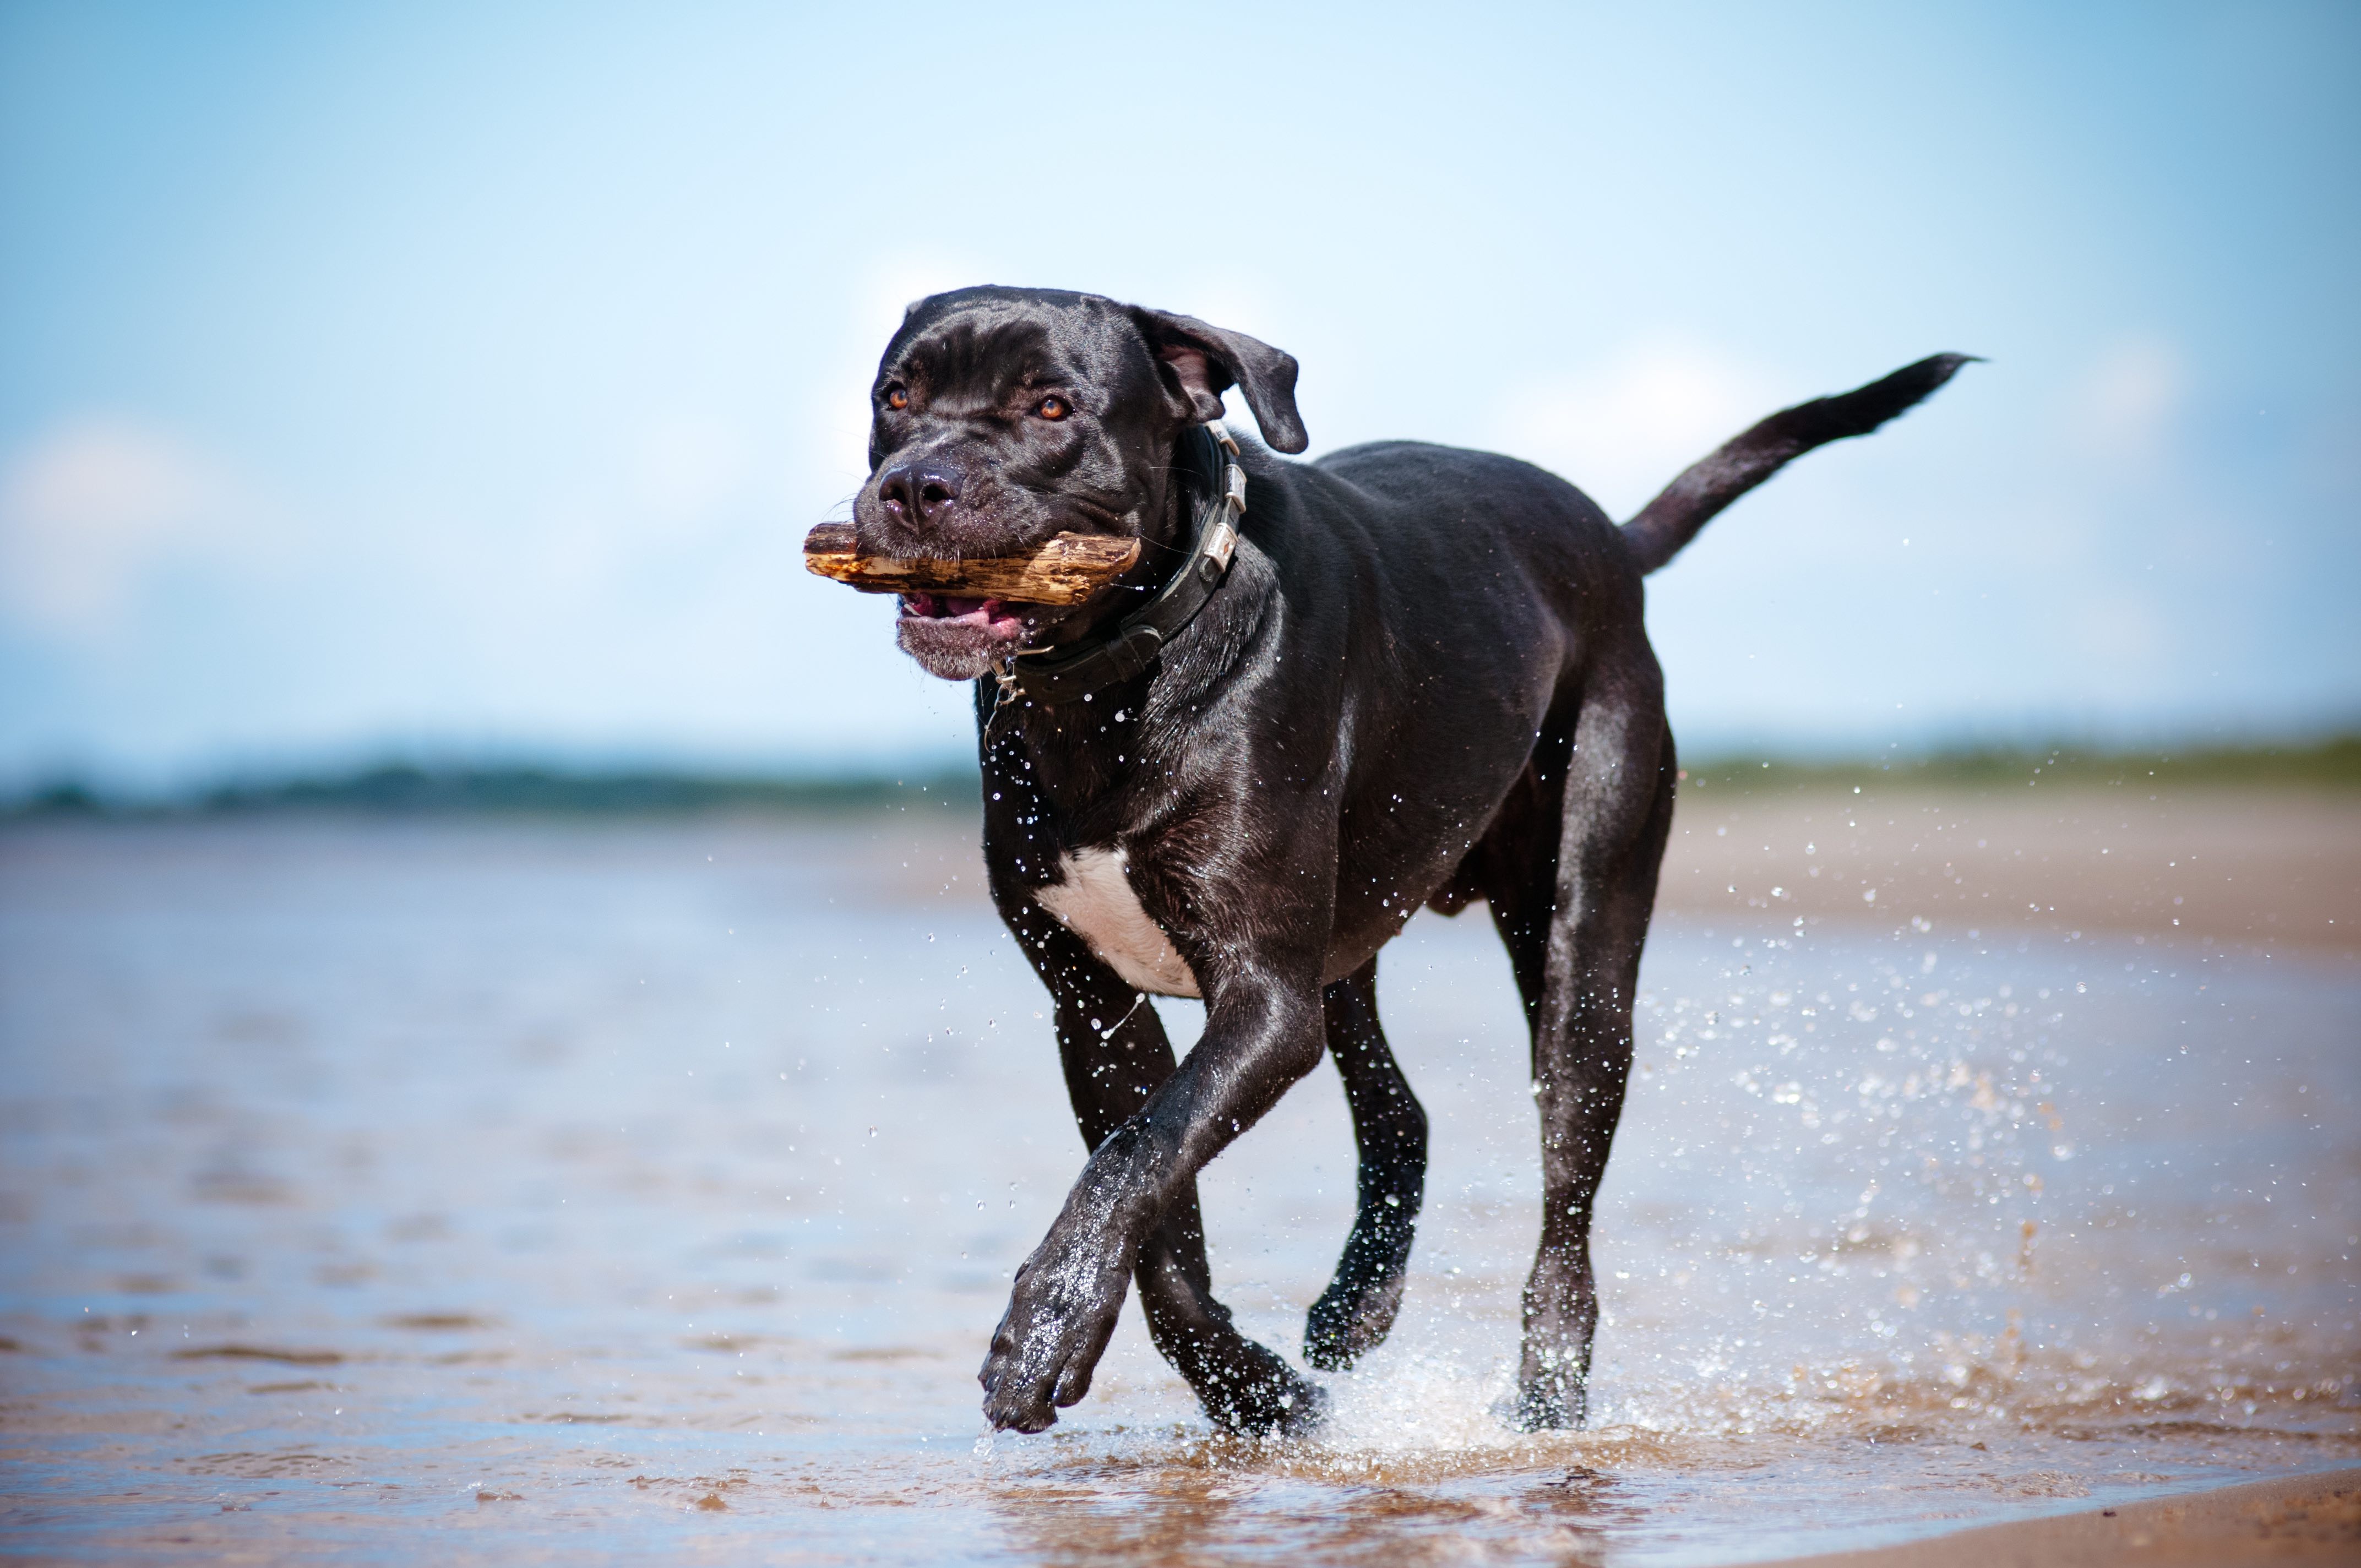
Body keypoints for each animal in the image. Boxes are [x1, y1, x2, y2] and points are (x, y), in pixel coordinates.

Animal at [855, 288, 1973, 1435]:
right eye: (896, 396)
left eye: (1051, 406)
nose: (913, 486)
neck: (1111, 679)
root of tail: (1610, 542)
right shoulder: (1093, 1005)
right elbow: (1155, 1200)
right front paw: (1248, 1391)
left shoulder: (1263, 997)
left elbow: (1136, 1158)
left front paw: (1043, 1326)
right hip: (1349, 943)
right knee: (1400, 1113)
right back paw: (1358, 1301)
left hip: (1579, 940)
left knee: (1565, 1186)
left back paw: (1547, 1396)